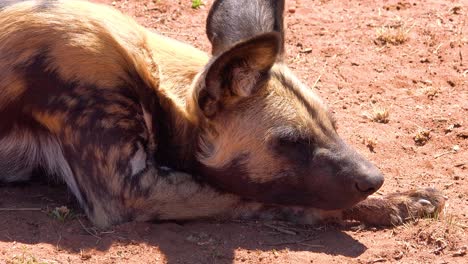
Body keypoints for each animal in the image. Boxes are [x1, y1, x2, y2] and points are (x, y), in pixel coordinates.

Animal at [0, 0, 446, 227]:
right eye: (292, 142)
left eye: (332, 124)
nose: (374, 179)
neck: (150, 75)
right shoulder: (127, 193)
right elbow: (265, 196)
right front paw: (393, 205)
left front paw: (395, 200)